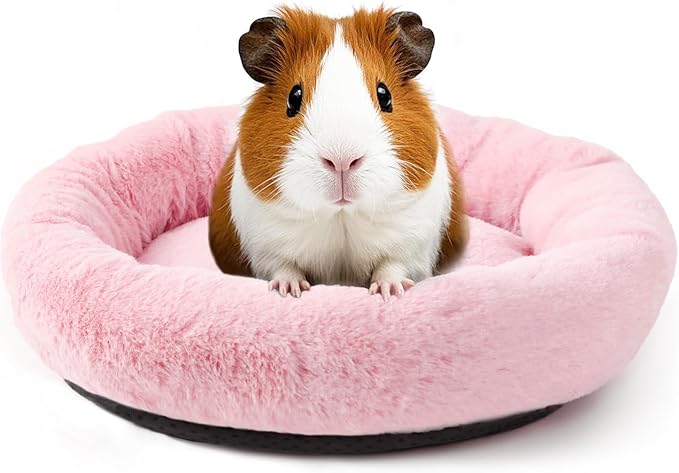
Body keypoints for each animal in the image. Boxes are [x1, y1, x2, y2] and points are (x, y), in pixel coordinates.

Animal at [209, 7, 467, 300]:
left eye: (384, 95)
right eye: (294, 97)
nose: (342, 160)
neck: (341, 217)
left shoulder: (412, 246)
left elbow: (391, 266)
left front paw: (390, 292)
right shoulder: (266, 247)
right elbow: (284, 267)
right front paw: (290, 291)